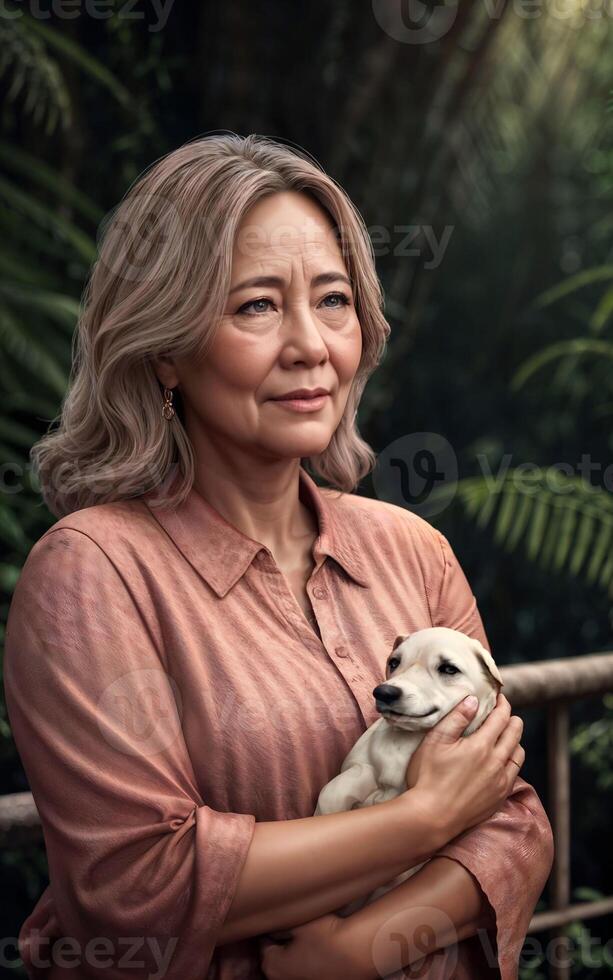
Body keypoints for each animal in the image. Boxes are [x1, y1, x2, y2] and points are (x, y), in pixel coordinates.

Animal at [310, 628, 502, 920]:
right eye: (393, 662)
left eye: (449, 668)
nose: (384, 692)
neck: (405, 739)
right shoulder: (360, 766)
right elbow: (335, 789)